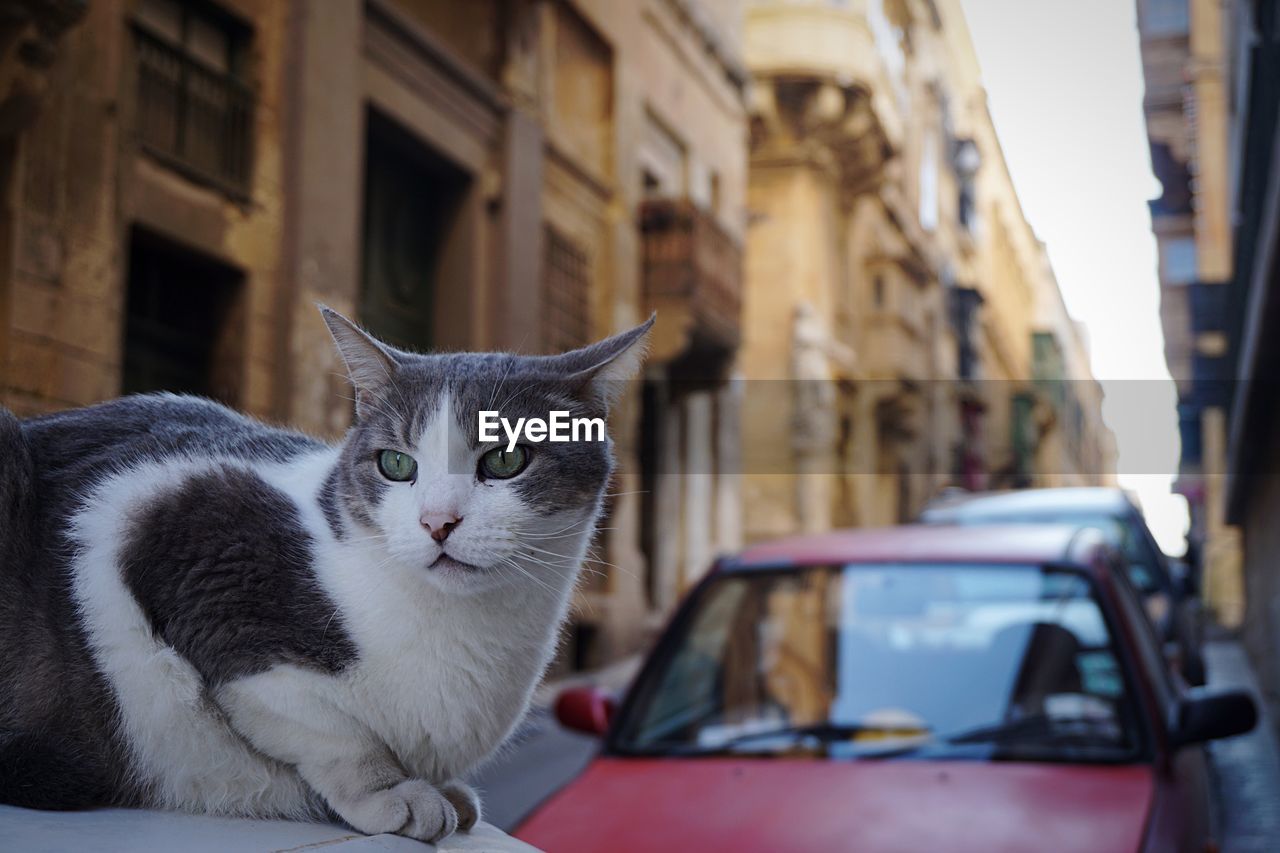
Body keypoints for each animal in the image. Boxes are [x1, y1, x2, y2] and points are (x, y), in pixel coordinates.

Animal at [0, 303, 650, 835]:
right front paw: (394, 792)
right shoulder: (177, 528)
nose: (437, 522)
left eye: (508, 458)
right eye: (395, 464)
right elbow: (325, 724)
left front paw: (443, 789)